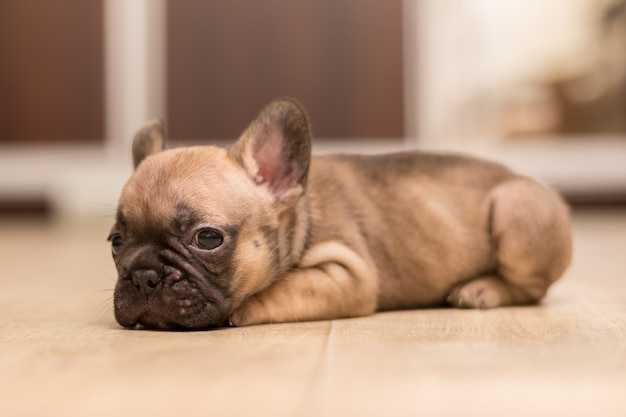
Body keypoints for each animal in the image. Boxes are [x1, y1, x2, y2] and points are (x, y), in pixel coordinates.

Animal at [108, 96, 572, 328]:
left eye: (207, 238)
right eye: (116, 242)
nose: (143, 276)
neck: (301, 218)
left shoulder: (348, 275)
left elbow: (278, 290)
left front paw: (240, 313)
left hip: (517, 208)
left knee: (531, 290)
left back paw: (481, 289)